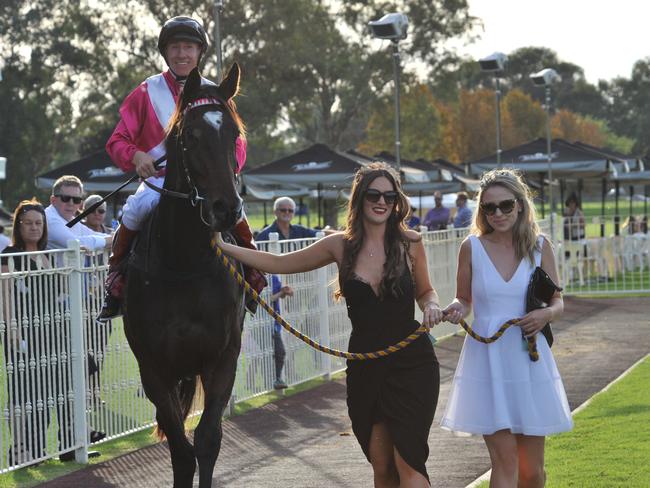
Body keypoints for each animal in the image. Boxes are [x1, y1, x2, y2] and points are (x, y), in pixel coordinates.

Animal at [121, 65, 246, 488]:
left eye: (234, 134)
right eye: (191, 135)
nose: (227, 208)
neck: (184, 263)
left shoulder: (223, 358)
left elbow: (206, 441)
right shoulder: (153, 368)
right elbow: (180, 450)